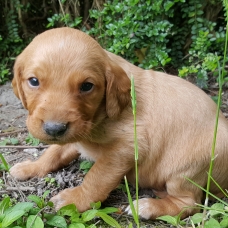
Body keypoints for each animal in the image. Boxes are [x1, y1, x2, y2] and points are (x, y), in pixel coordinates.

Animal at [10, 26, 228, 219]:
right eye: (34, 81)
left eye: (87, 86)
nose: (54, 129)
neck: (100, 117)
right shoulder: (76, 134)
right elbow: (53, 153)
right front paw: (31, 167)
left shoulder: (126, 147)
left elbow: (97, 177)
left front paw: (75, 199)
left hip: (186, 169)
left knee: (190, 203)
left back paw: (146, 206)